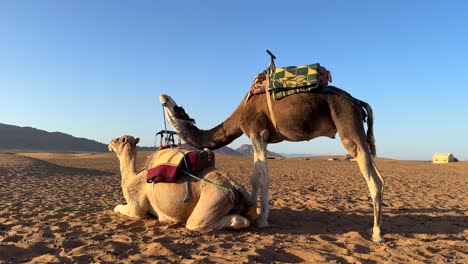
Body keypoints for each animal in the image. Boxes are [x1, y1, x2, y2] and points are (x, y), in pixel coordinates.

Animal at [108, 135, 258, 230]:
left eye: (116, 140)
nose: (109, 144)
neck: (132, 177)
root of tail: (234, 185)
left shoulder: (136, 209)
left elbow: (119, 208)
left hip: (216, 198)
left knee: (196, 223)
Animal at [159, 84, 386, 241]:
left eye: (179, 108)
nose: (163, 95)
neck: (241, 113)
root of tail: (357, 102)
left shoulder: (257, 131)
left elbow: (262, 178)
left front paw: (261, 220)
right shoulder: (260, 136)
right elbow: (254, 177)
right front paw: (253, 212)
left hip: (348, 126)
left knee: (375, 179)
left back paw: (376, 233)